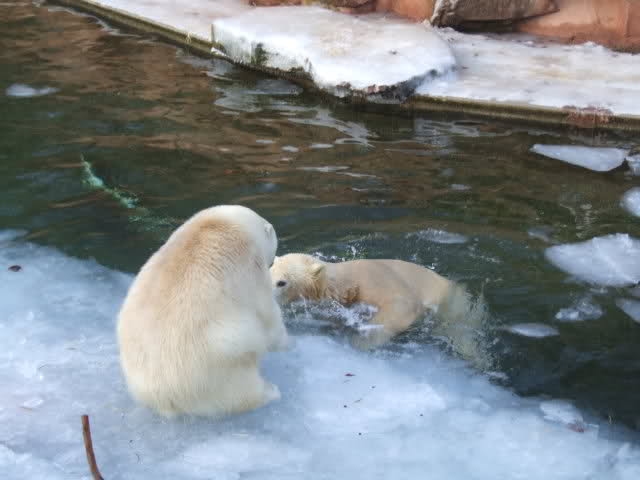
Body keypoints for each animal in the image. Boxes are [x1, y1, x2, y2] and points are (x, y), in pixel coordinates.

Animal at [117, 205, 288, 418]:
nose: (274, 259)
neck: (221, 224)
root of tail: (165, 399)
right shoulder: (251, 268)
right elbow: (267, 315)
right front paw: (287, 343)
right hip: (222, 369)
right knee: (243, 391)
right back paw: (271, 392)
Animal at [270, 253, 490, 366]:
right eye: (268, 270)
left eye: (282, 282)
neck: (344, 286)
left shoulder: (373, 279)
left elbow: (402, 306)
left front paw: (359, 342)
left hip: (453, 306)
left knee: (462, 335)